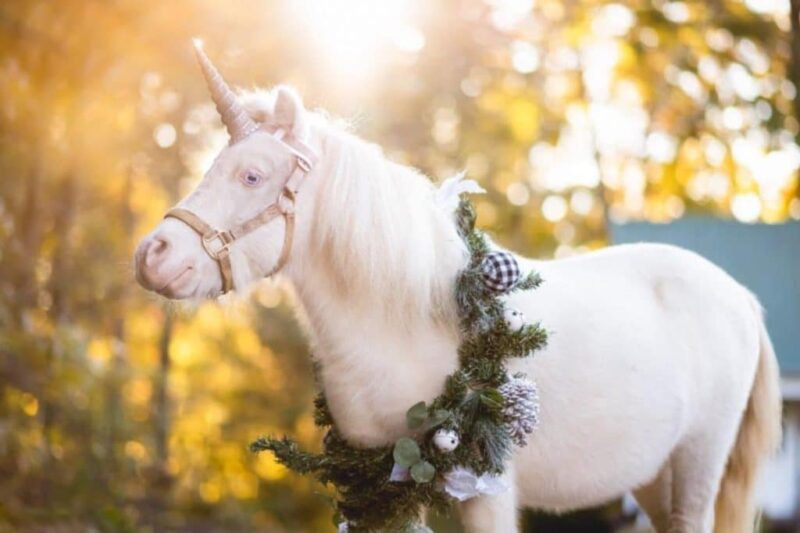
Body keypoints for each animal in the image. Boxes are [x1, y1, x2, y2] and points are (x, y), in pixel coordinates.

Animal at [134, 46, 780, 532]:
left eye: (252, 175)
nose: (153, 255)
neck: (411, 320)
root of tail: (742, 299)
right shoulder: (377, 481)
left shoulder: (487, 489)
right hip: (651, 476)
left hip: (699, 462)